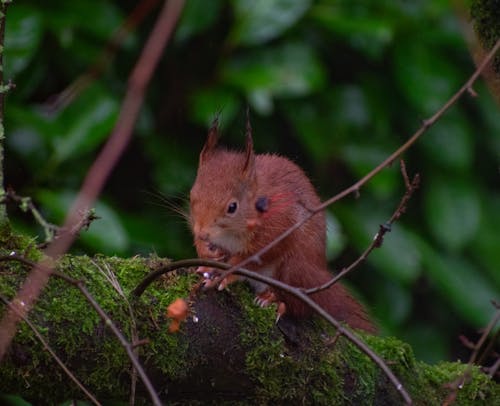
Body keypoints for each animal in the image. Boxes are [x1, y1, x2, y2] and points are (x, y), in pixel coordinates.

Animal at [188, 117, 376, 334]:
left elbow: (258, 255)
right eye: (192, 195)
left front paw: (228, 273)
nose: (203, 233)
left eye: (232, 207)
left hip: (294, 270)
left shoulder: (282, 223)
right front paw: (206, 256)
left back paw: (274, 300)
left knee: (297, 305)